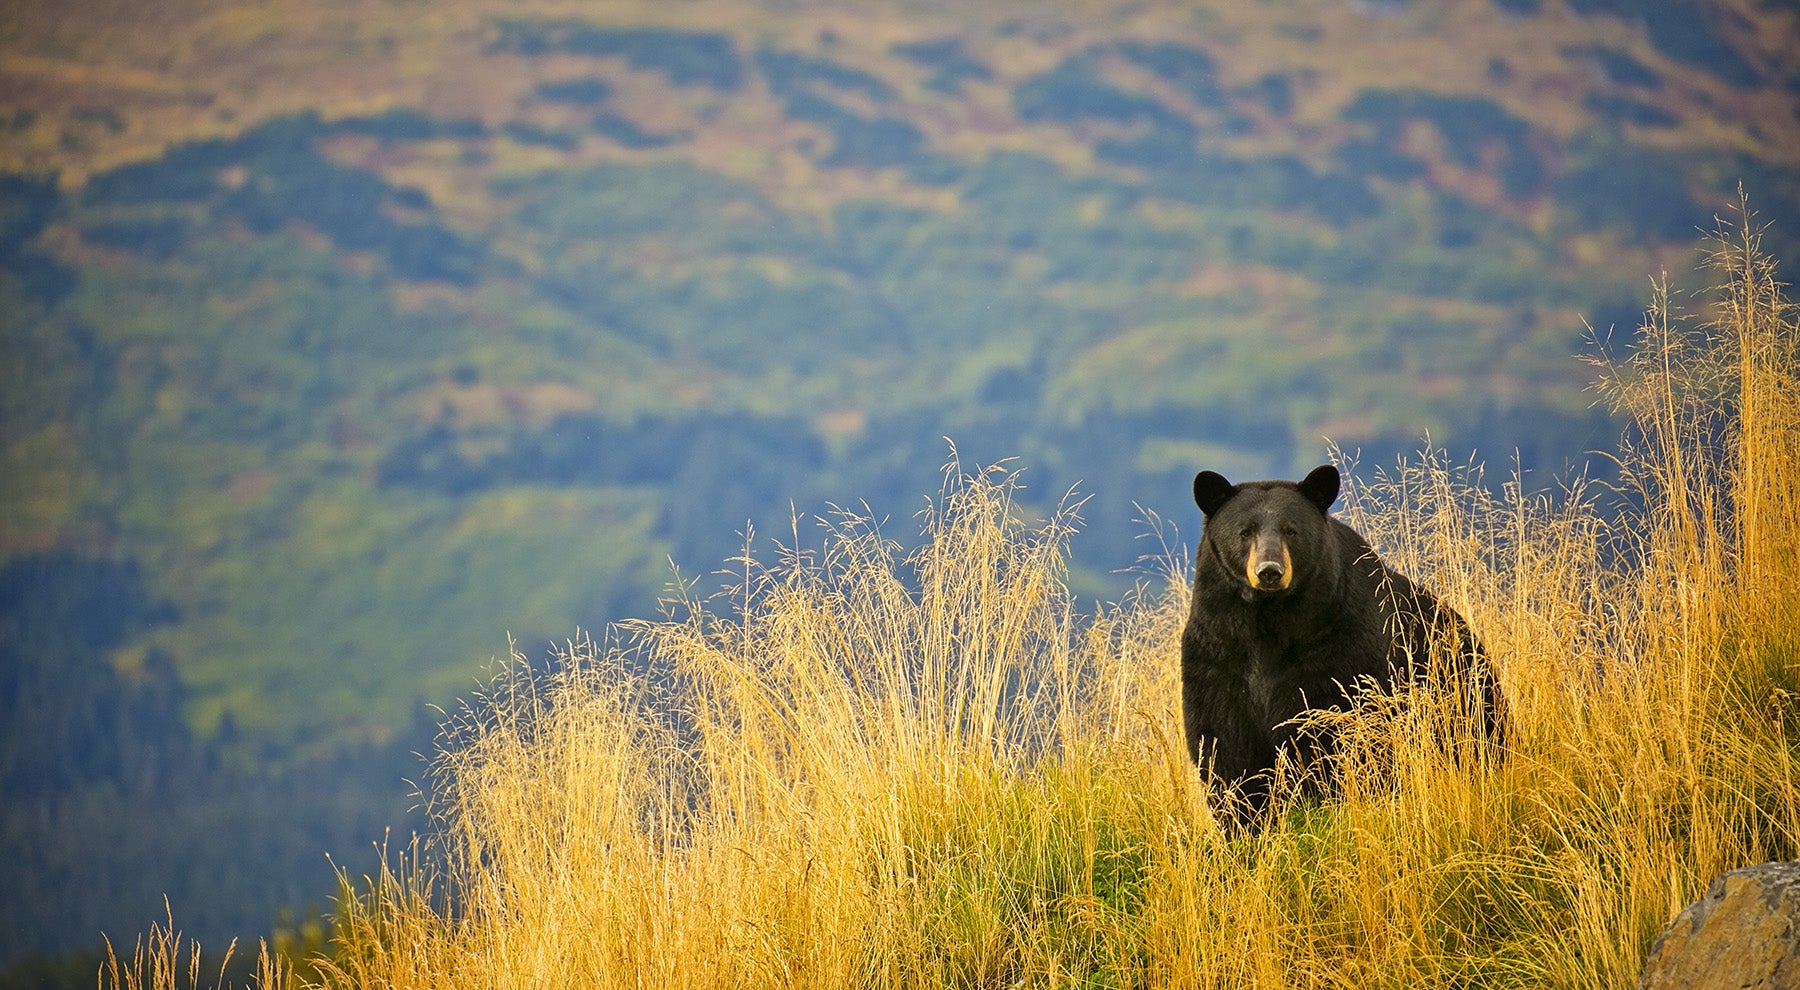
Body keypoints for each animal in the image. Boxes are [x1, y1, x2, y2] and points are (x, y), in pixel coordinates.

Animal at [1180, 464, 1504, 813]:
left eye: (1290, 531)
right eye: (1245, 531)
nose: (1269, 571)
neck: (1268, 620)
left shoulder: (1339, 646)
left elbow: (1335, 727)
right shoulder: (1217, 651)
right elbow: (1224, 743)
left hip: (1461, 692)